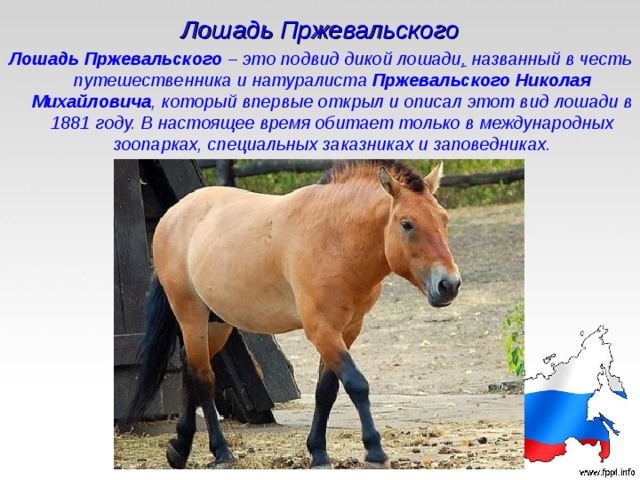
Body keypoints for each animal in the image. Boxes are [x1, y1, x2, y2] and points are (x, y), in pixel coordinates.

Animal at [119, 160, 461, 469]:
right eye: (407, 223)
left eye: (444, 220)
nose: (449, 285)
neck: (335, 237)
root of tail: (173, 215)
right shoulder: (322, 330)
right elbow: (356, 384)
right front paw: (375, 451)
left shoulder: (347, 330)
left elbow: (326, 391)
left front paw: (319, 453)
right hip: (191, 315)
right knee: (203, 378)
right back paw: (221, 453)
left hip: (216, 323)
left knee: (191, 371)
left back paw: (180, 449)